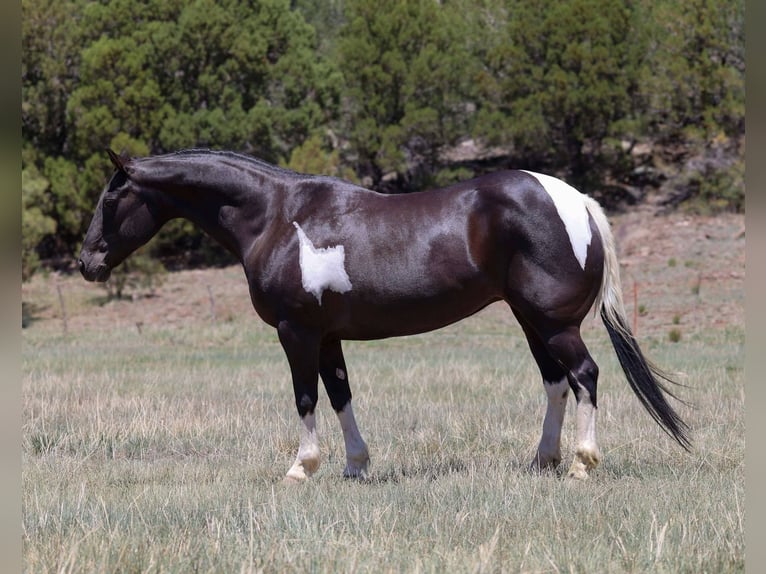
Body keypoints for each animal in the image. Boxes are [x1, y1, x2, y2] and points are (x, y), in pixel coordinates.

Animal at [79, 148, 690, 481]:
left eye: (110, 200)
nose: (87, 262)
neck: (276, 217)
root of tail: (576, 201)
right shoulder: (326, 337)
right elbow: (340, 394)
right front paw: (355, 465)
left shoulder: (296, 333)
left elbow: (305, 398)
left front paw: (301, 467)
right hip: (531, 321)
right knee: (557, 382)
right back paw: (543, 460)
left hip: (555, 323)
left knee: (584, 375)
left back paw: (583, 464)